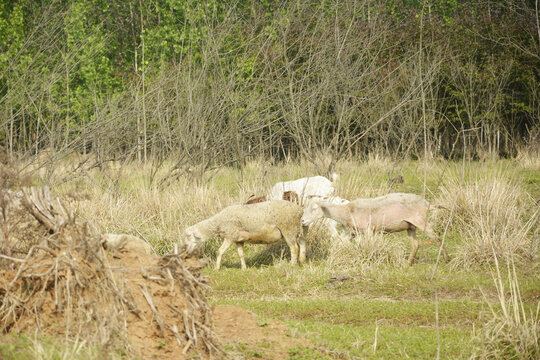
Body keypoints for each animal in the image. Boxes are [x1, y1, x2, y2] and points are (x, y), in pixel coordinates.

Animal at [302, 193, 450, 266]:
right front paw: (332, 258)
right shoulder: (350, 232)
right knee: (415, 244)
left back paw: (447, 259)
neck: (346, 212)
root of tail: (427, 204)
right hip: (410, 225)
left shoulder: (368, 230)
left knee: (437, 238)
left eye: (314, 208)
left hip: (420, 220)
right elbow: (338, 244)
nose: (302, 221)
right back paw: (408, 263)